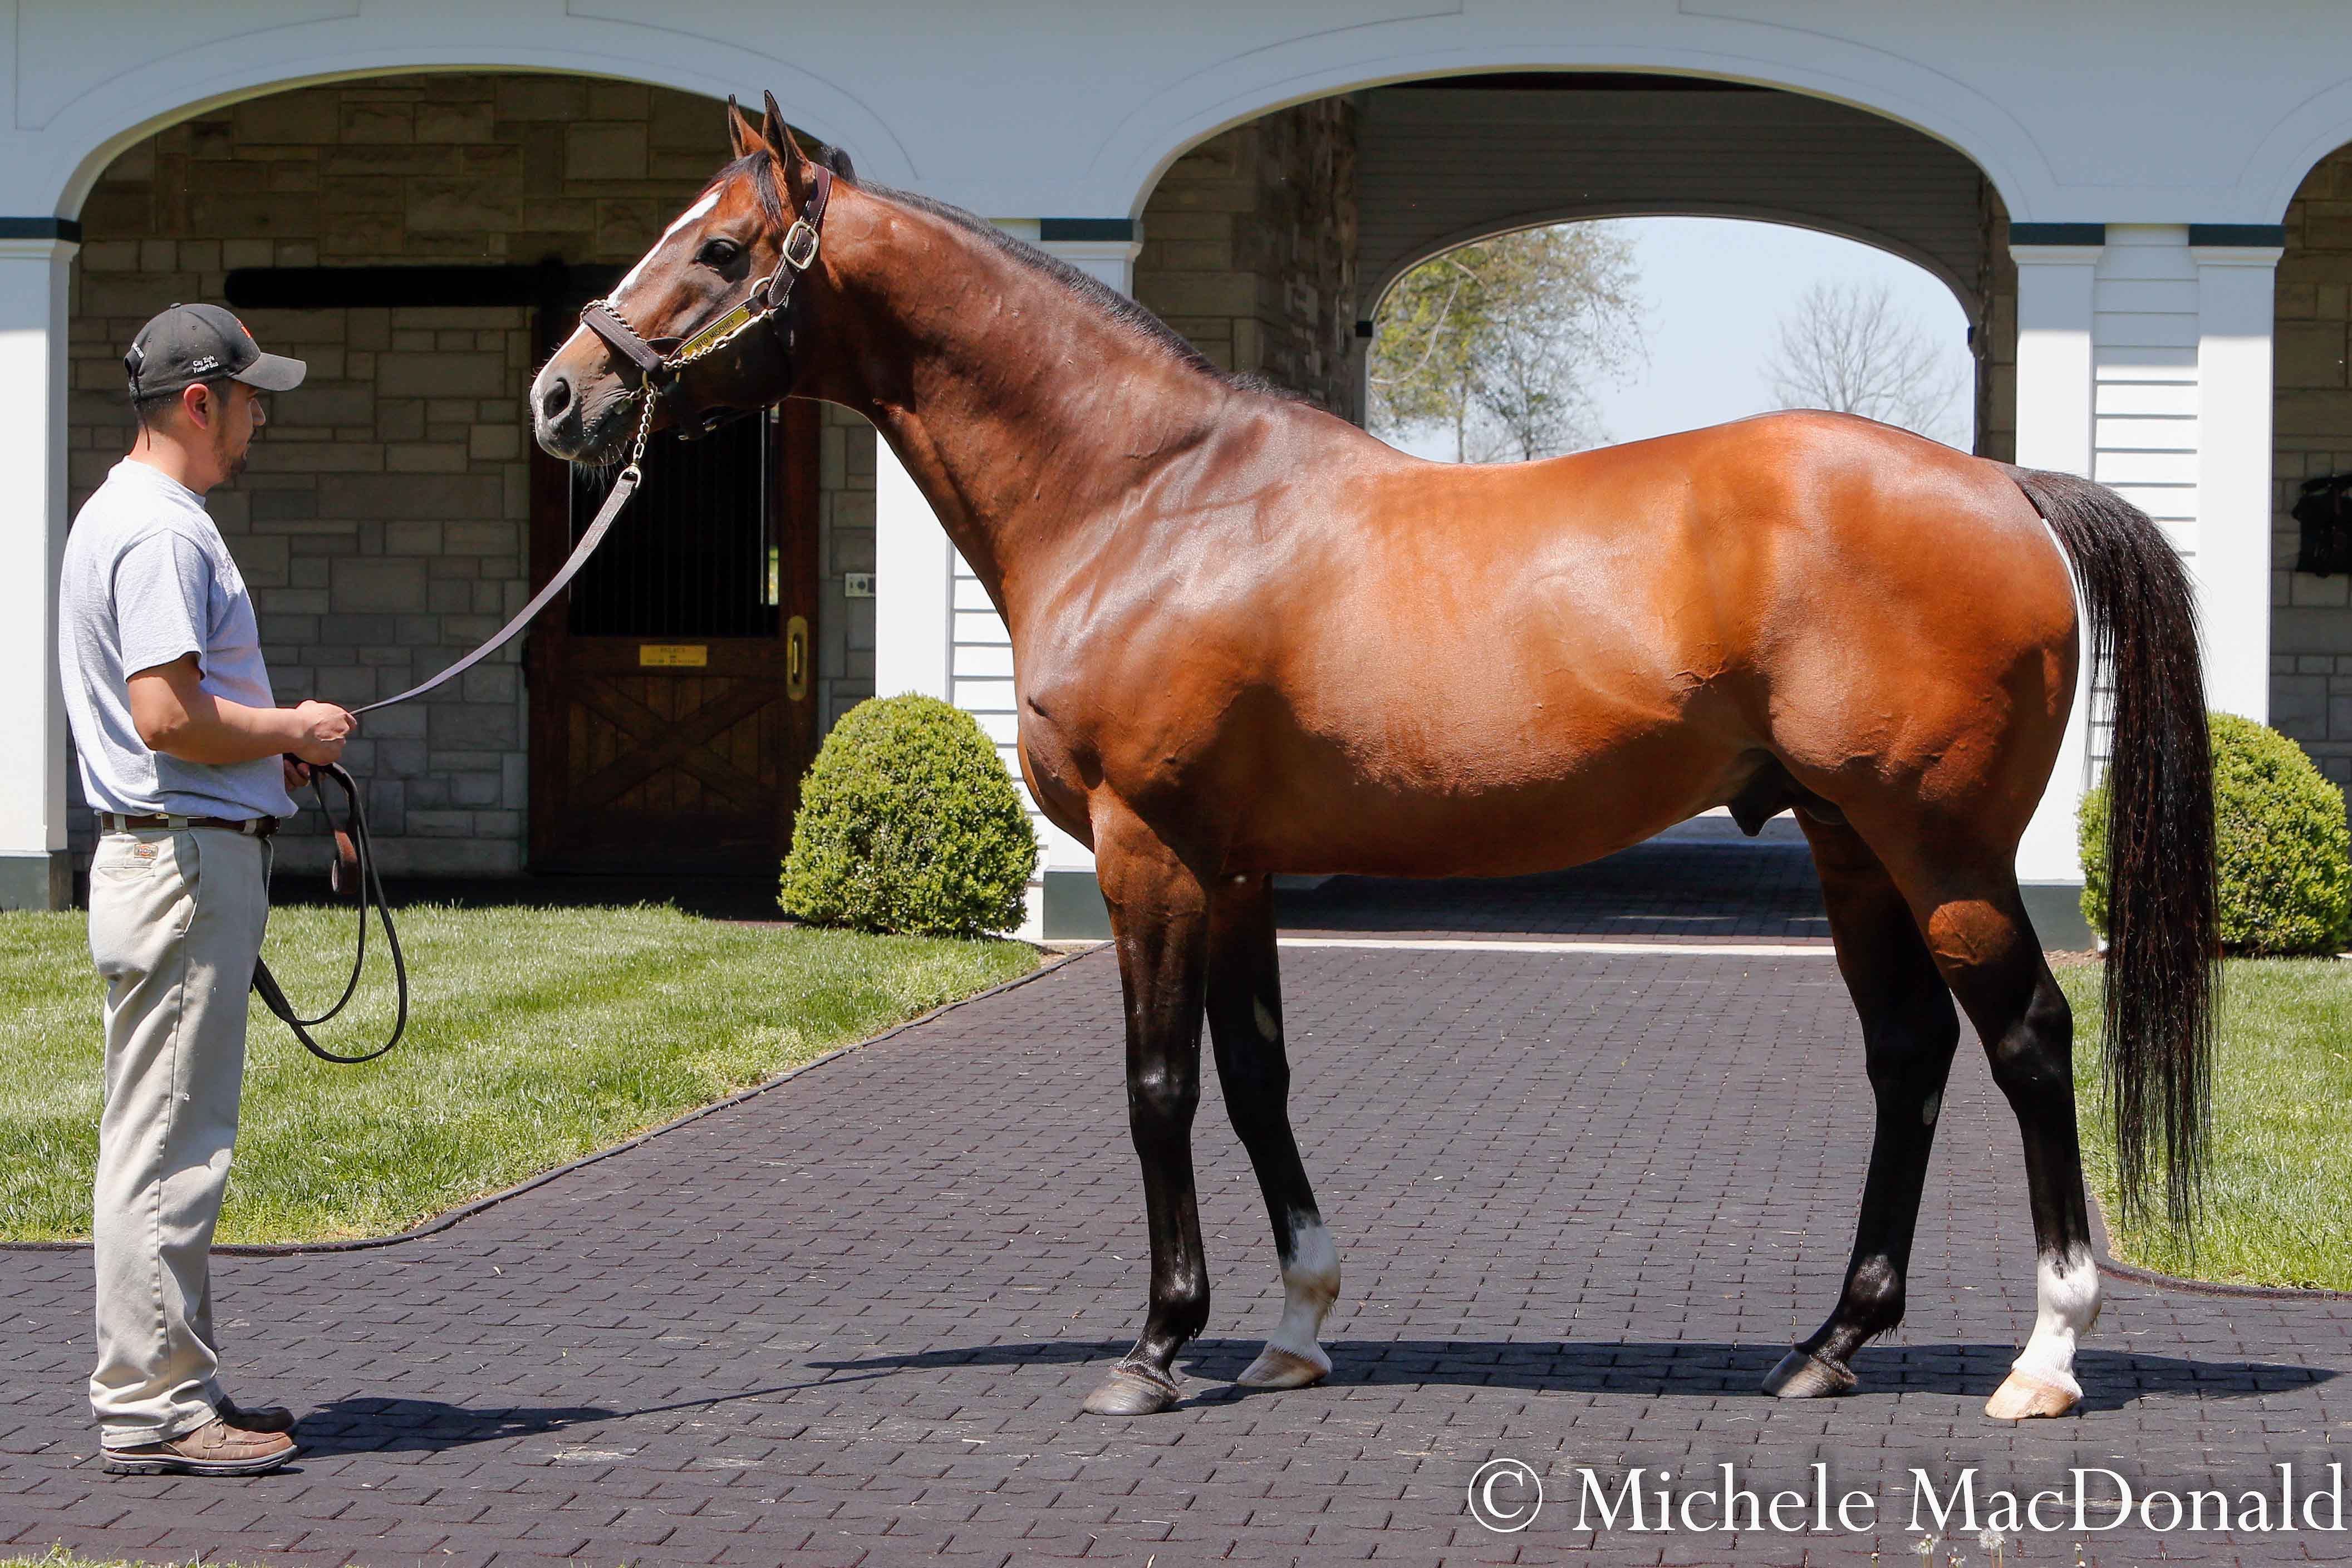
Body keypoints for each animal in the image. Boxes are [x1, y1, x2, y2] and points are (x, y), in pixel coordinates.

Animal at [534, 95, 2220, 1419]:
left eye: (722, 249)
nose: (565, 394)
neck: (1148, 502)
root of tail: (2005, 485)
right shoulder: (1235, 867)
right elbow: (1258, 1076)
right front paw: (1292, 1327)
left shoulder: (1149, 848)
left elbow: (1157, 1084)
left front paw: (1155, 1347)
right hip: (1843, 838)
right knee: (1909, 1054)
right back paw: (1829, 1342)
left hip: (1939, 846)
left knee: (2026, 1044)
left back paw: (2044, 1357)